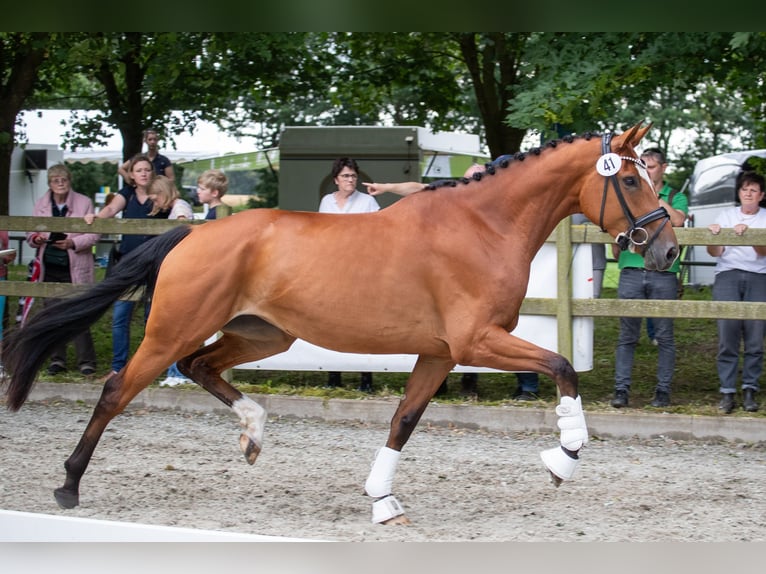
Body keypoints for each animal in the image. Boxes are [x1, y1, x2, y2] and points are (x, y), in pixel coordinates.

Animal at [1, 123, 678, 525]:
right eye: (629, 179)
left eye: (651, 176)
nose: (668, 252)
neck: (484, 226)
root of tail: (192, 229)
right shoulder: (476, 341)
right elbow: (562, 366)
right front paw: (564, 457)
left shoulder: (440, 352)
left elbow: (404, 420)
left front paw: (382, 499)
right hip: (175, 328)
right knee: (118, 389)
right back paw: (69, 486)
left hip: (263, 333)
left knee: (199, 367)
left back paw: (253, 432)